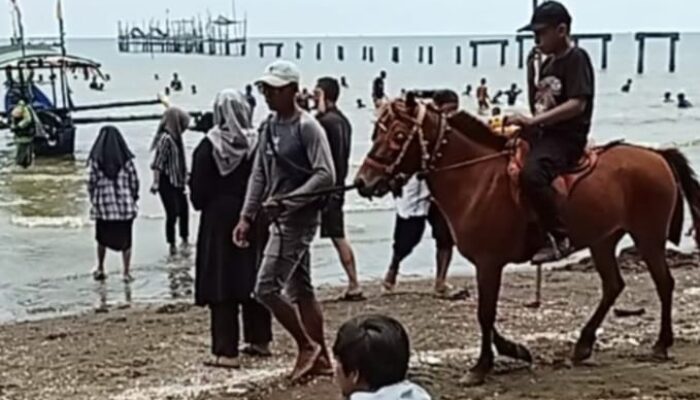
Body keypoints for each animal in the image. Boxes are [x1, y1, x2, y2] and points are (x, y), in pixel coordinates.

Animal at [356, 95, 700, 386]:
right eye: (375, 133)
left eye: (398, 135)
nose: (362, 182)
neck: (477, 179)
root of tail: (657, 155)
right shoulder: (487, 264)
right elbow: (487, 314)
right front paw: (515, 350)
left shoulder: (488, 263)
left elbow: (485, 313)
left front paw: (481, 367)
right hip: (602, 240)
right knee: (613, 285)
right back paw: (583, 344)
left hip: (648, 237)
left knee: (664, 284)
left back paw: (660, 344)